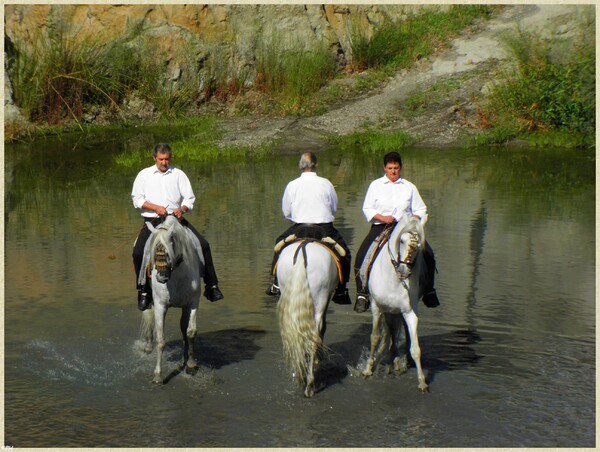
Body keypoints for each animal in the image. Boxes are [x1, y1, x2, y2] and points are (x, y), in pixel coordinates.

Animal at [138, 215, 204, 382]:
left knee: (184, 328)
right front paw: (158, 375)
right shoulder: (160, 305)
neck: (177, 275)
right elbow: (161, 340)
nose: (161, 278)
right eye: (154, 252)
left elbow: (190, 332)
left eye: (168, 253)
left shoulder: (192, 302)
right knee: (150, 320)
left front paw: (191, 364)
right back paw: (148, 346)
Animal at [278, 240, 340, 396]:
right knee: (313, 337)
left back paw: (299, 376)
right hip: (320, 299)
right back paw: (310, 384)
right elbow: (322, 329)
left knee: (294, 337)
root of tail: (302, 250)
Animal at [364, 215, 428, 392]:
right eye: (402, 241)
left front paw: (422, 381)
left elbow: (416, 348)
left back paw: (398, 363)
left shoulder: (409, 312)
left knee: (395, 336)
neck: (393, 278)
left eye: (419, 245)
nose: (404, 271)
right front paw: (368, 369)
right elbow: (374, 337)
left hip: (395, 313)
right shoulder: (376, 307)